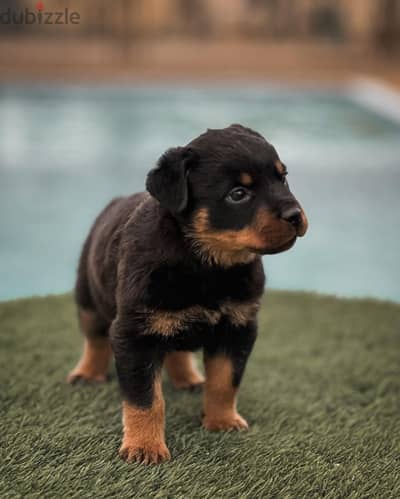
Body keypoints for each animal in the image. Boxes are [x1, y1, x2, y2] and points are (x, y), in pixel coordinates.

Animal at [67, 124, 308, 464]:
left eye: (283, 178)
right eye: (238, 194)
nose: (294, 214)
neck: (207, 264)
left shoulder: (238, 328)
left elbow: (224, 381)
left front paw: (221, 420)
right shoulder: (135, 333)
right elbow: (145, 398)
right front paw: (145, 446)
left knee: (176, 350)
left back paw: (188, 379)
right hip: (88, 297)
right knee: (95, 339)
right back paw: (87, 373)